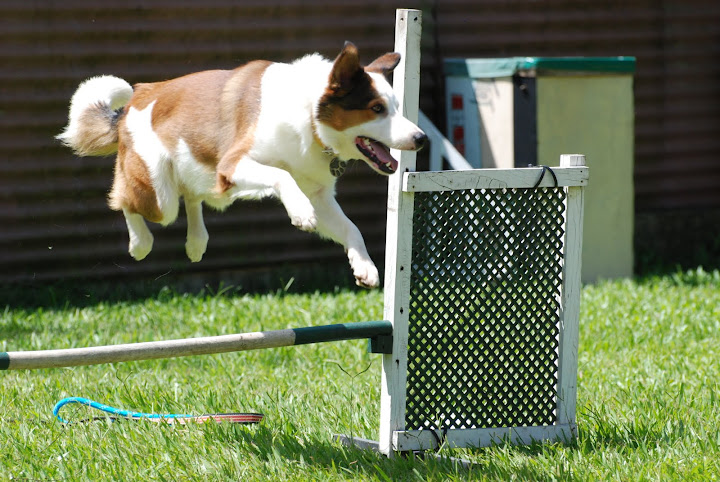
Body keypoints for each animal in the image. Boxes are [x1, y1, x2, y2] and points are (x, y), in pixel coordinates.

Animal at [59, 42, 428, 286]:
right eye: (376, 109)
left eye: (397, 107)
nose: (421, 138)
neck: (309, 116)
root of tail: (135, 99)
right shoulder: (233, 164)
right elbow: (281, 176)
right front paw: (301, 214)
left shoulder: (319, 193)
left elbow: (351, 228)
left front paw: (365, 267)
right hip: (159, 194)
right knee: (127, 200)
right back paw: (139, 243)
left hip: (198, 179)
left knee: (193, 195)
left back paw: (196, 242)